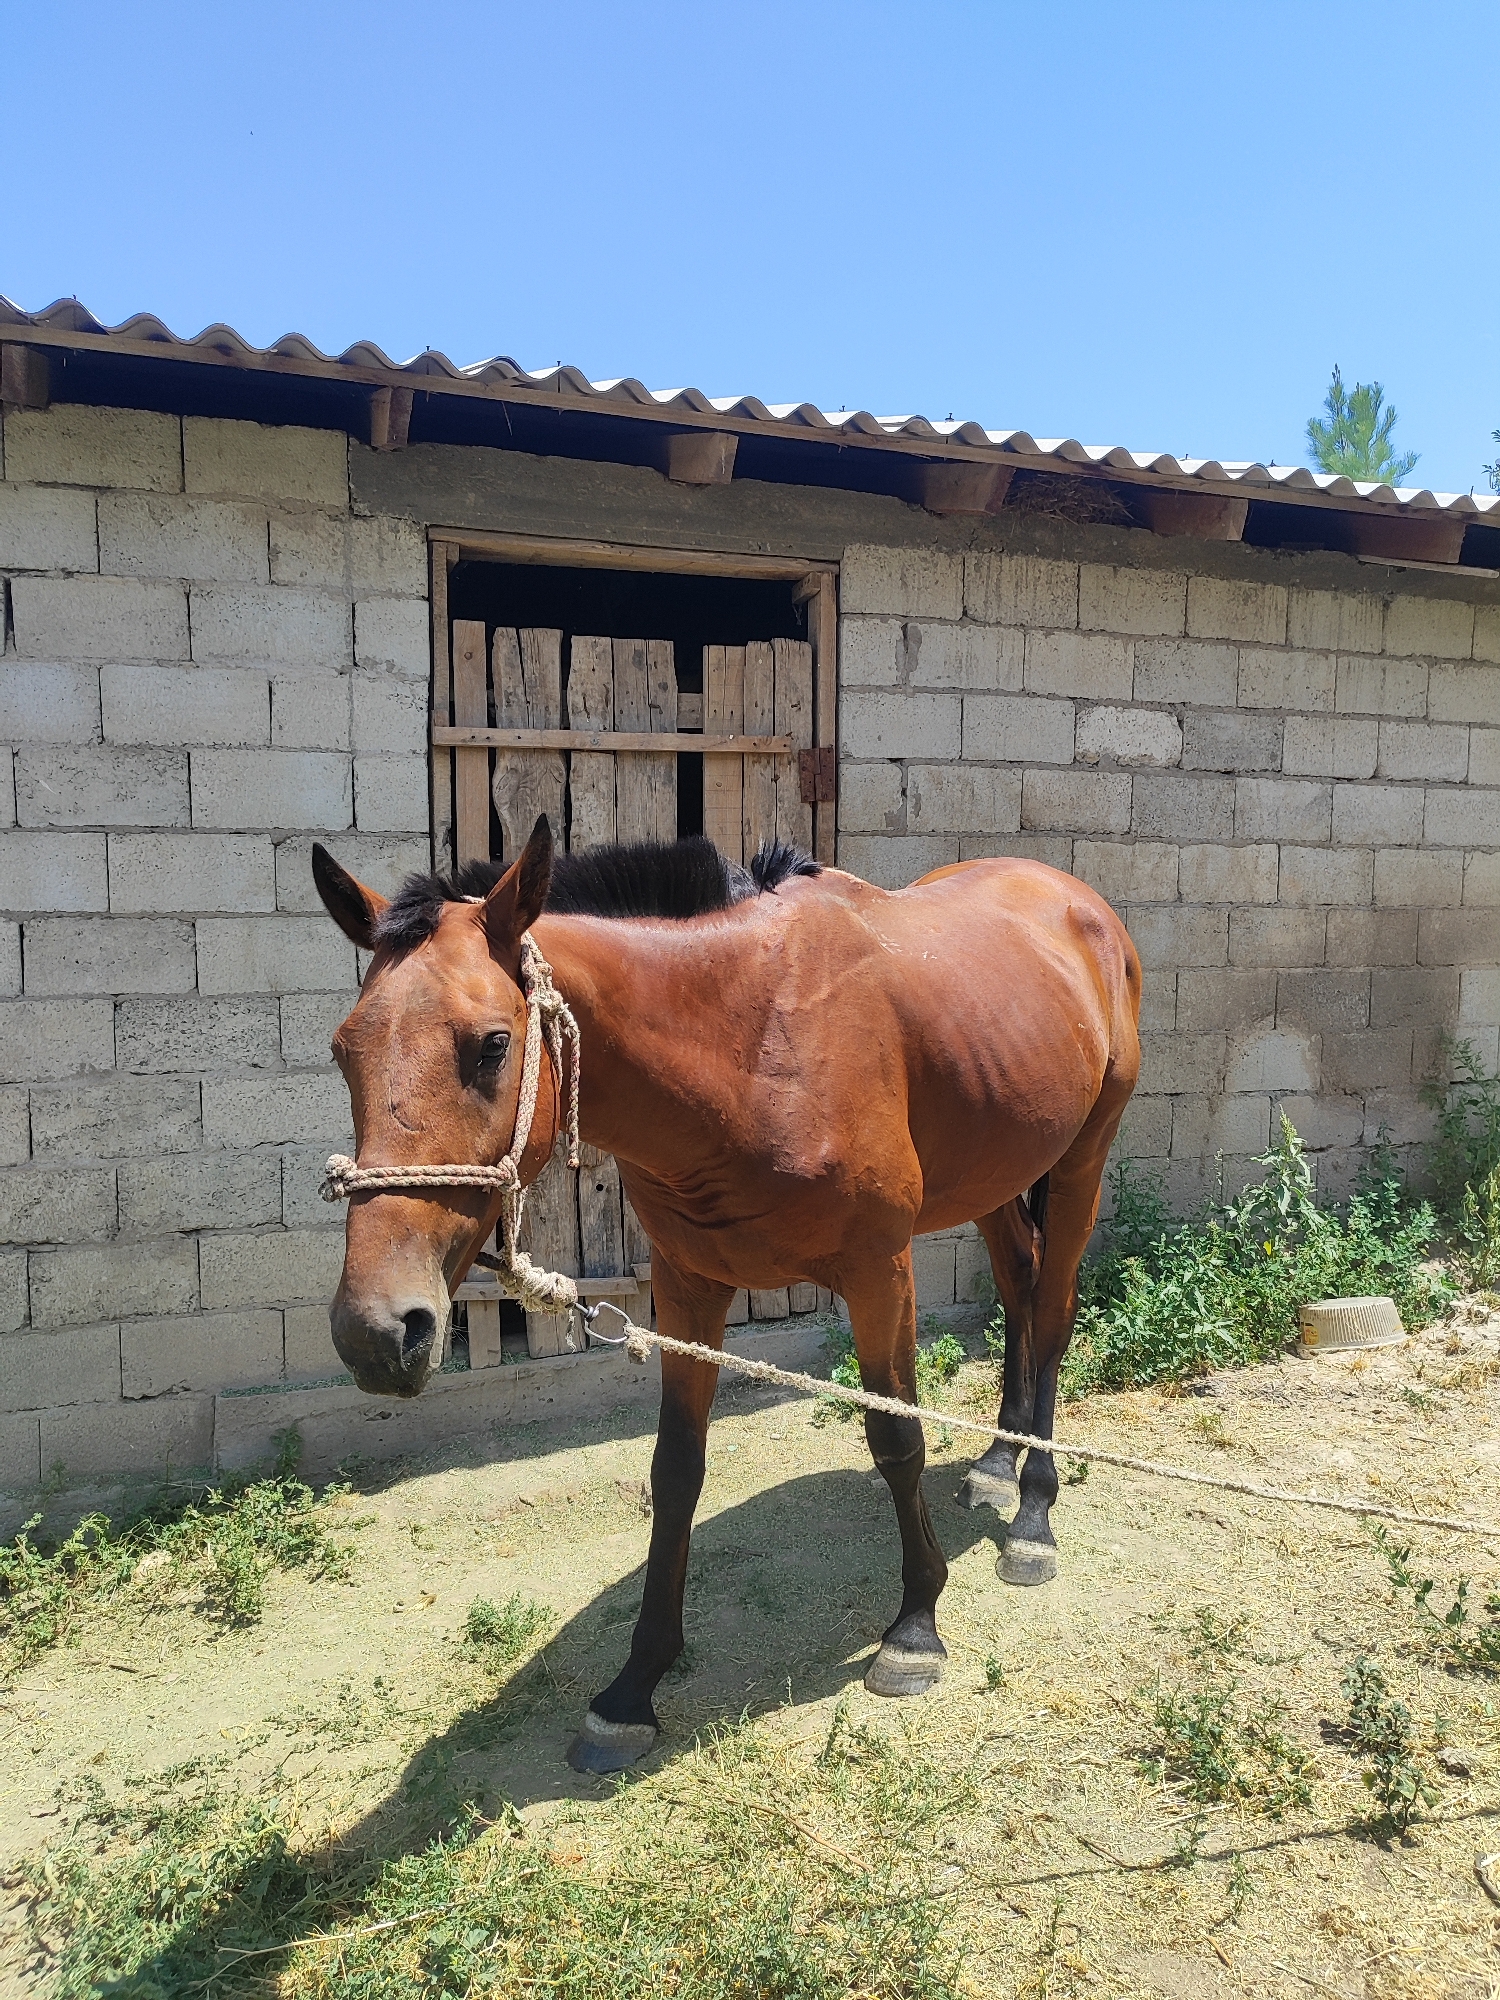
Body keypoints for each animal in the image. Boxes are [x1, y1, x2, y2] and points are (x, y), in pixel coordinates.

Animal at [311, 817, 1140, 1773]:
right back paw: (999, 1465)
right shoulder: (688, 1288)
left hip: (1081, 1160)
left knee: (1054, 1310)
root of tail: (1077, 900)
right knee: (1019, 1286)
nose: (377, 1331)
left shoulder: (879, 1272)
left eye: (490, 1044)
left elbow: (896, 1439)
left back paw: (1034, 1512)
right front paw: (634, 1687)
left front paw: (914, 1628)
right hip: (998, 1169)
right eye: (343, 1050)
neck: (753, 1041)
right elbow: (675, 1471)